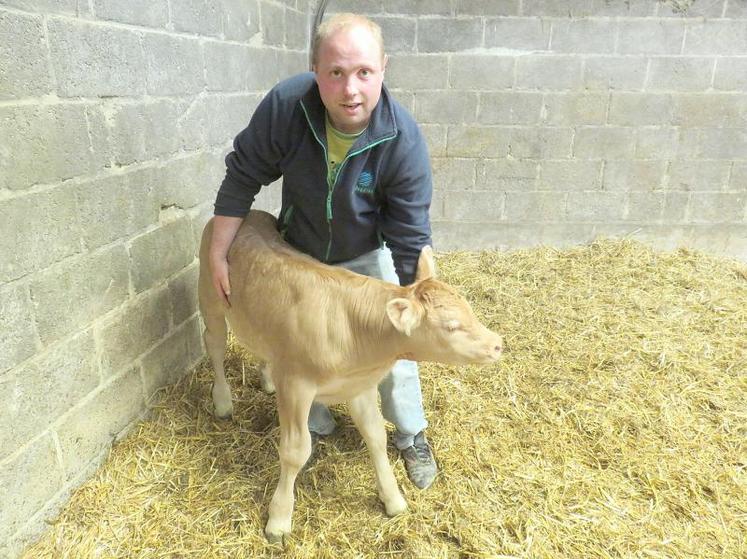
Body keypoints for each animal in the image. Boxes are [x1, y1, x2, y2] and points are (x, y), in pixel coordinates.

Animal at [197, 210, 502, 544]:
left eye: (469, 310)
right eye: (451, 326)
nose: (497, 344)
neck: (354, 330)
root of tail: (247, 215)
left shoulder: (358, 384)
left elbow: (376, 436)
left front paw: (393, 499)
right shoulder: (295, 384)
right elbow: (295, 451)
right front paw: (278, 520)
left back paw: (266, 380)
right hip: (210, 296)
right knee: (214, 344)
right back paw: (223, 402)